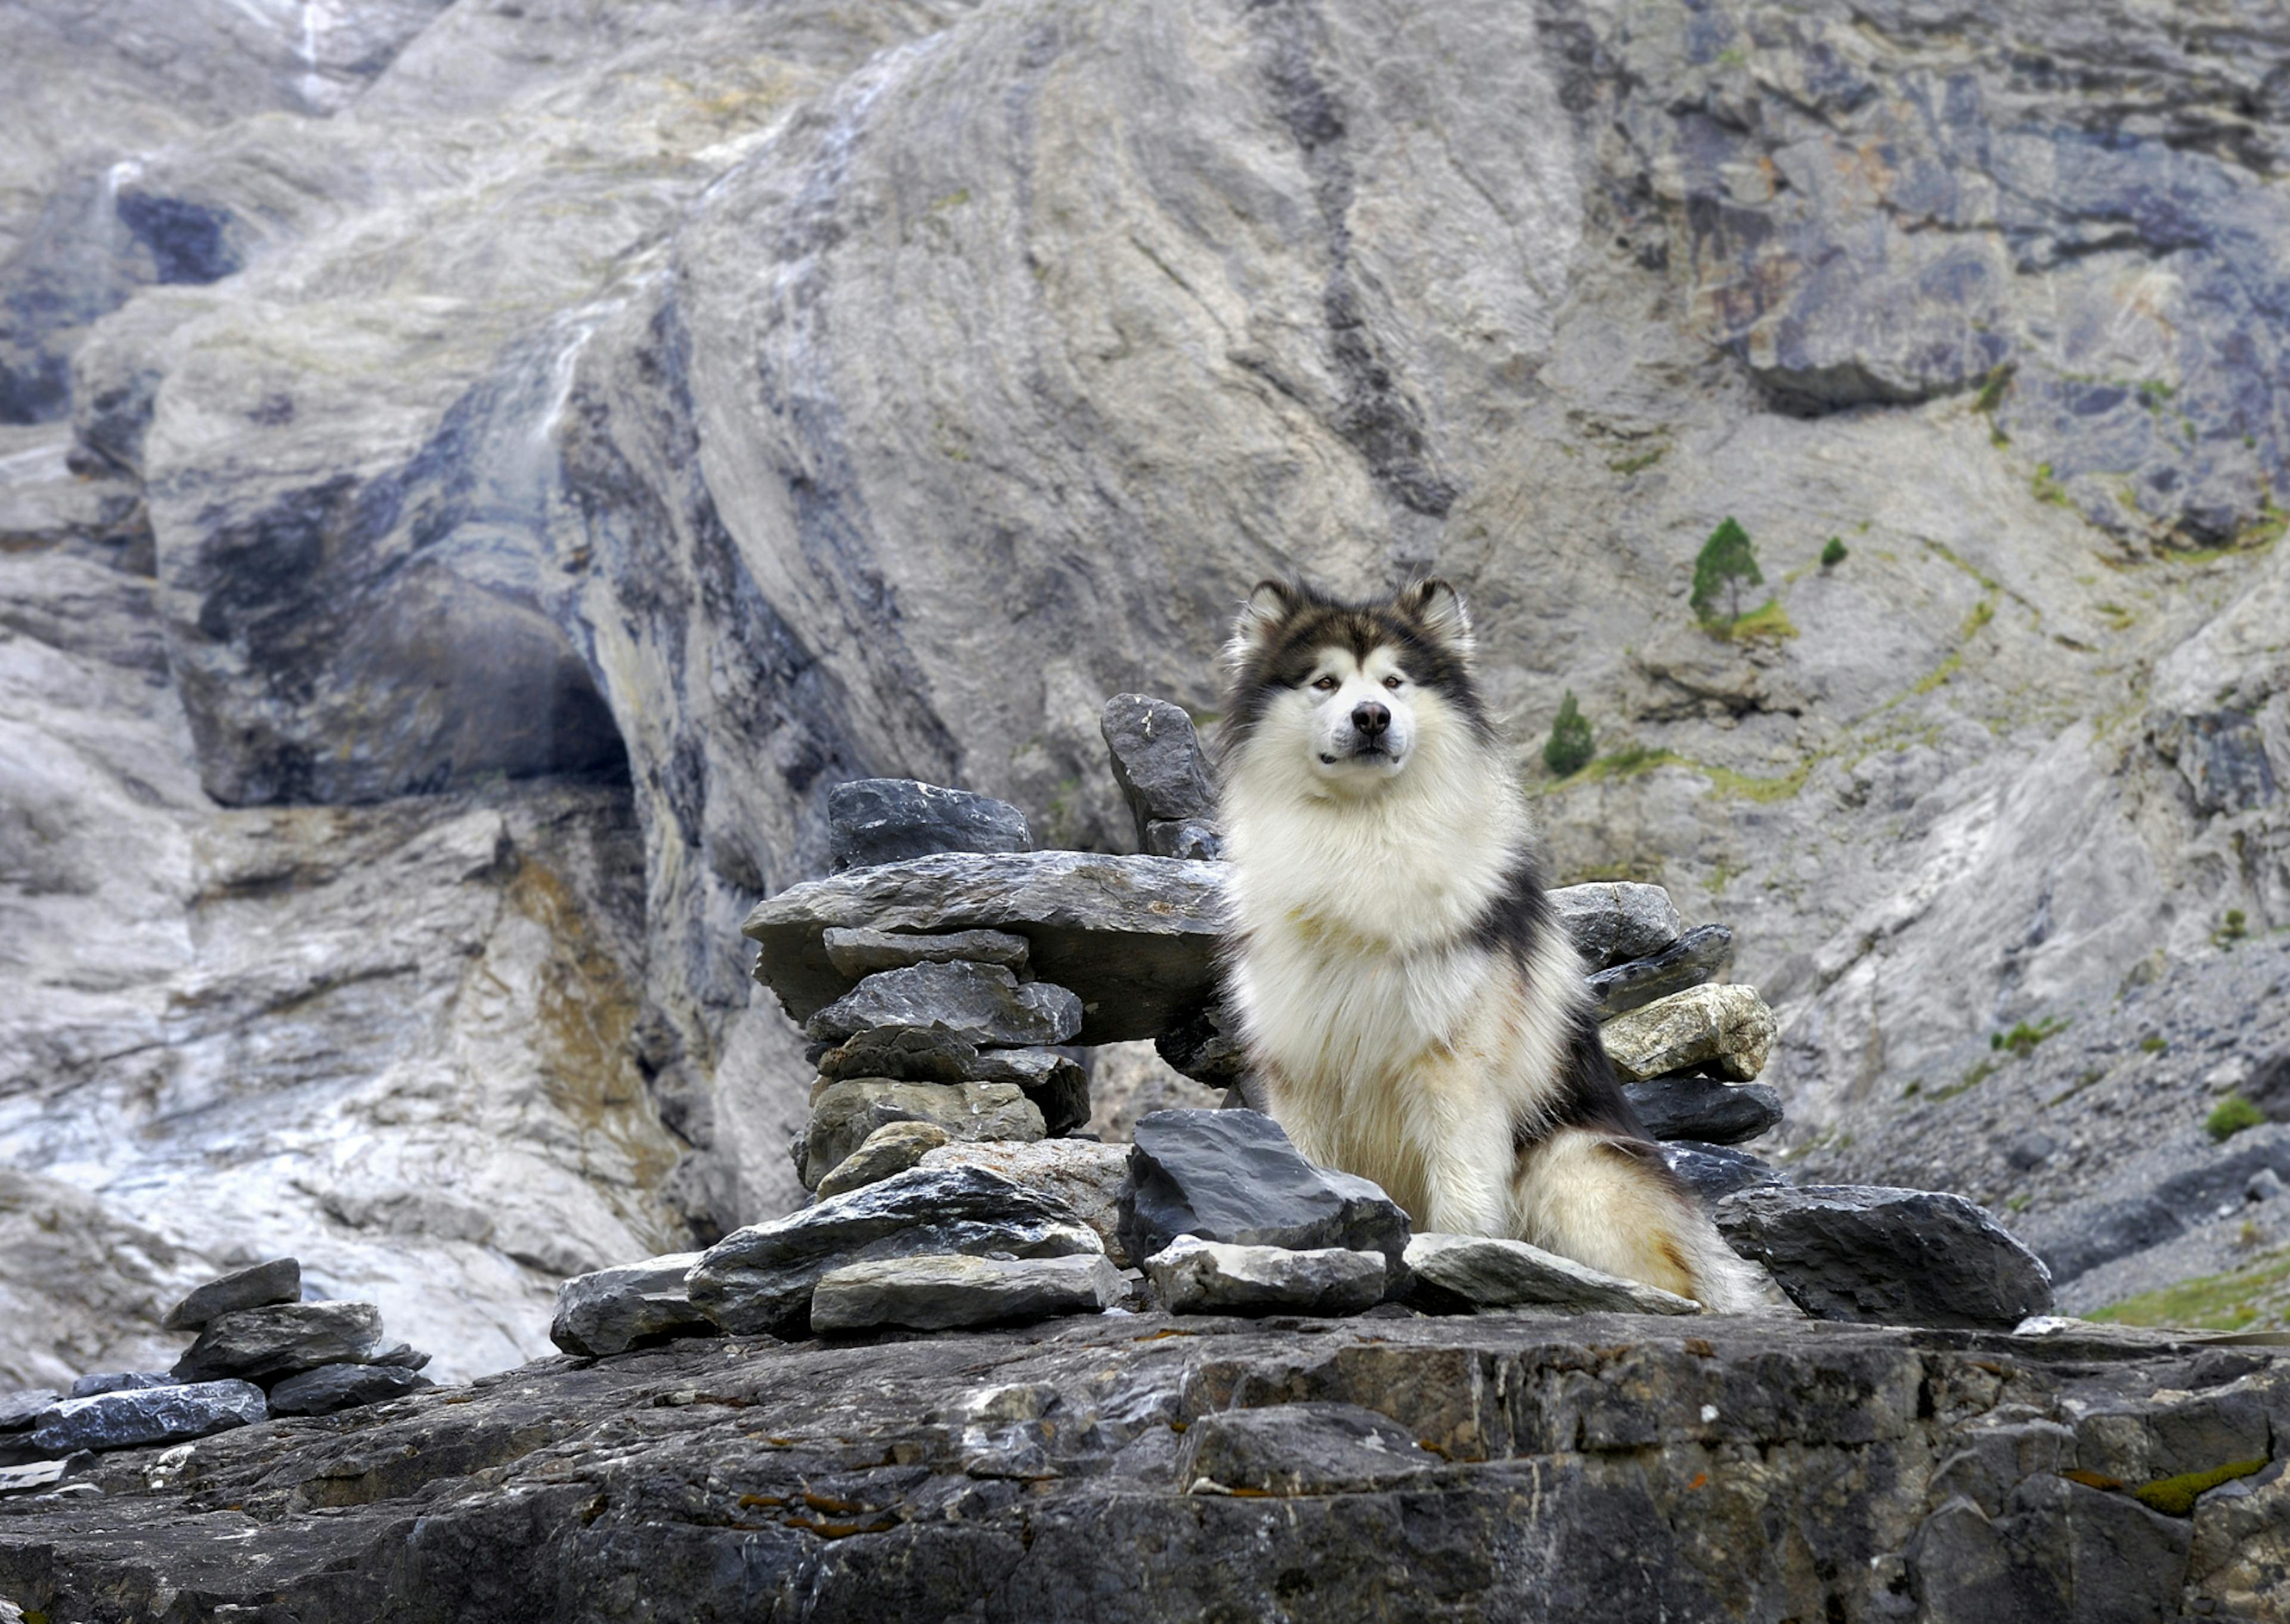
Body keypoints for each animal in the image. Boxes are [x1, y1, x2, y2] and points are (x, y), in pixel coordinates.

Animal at [1227, 577, 1759, 1310]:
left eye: (1394, 681)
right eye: (1324, 682)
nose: (1372, 717)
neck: (1364, 835)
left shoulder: (1454, 1063)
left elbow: (1462, 1186)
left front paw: (1453, 1257)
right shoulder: (1301, 1062)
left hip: (1573, 1166)